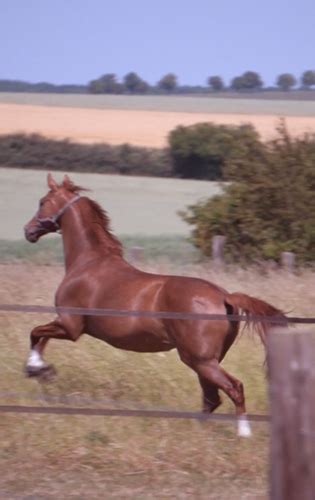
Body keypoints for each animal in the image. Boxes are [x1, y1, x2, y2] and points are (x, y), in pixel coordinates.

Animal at [24, 174, 286, 436]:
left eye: (42, 202)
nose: (28, 231)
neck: (88, 263)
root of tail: (225, 297)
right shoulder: (65, 324)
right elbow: (41, 337)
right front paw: (40, 370)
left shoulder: (71, 327)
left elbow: (35, 333)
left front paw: (35, 367)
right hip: (205, 361)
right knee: (212, 398)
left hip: (200, 360)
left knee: (233, 388)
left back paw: (243, 433)